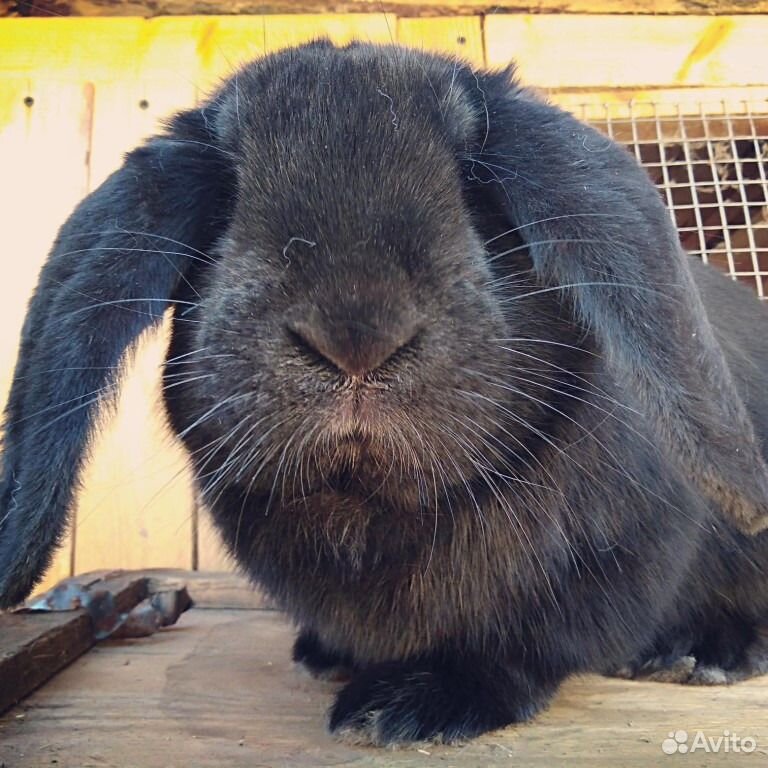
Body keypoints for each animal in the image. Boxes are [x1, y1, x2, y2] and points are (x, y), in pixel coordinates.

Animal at [1, 42, 768, 744]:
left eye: (474, 191)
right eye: (226, 203)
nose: (356, 338)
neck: (369, 510)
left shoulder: (621, 562)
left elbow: (529, 643)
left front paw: (409, 706)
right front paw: (328, 657)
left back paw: (704, 653)